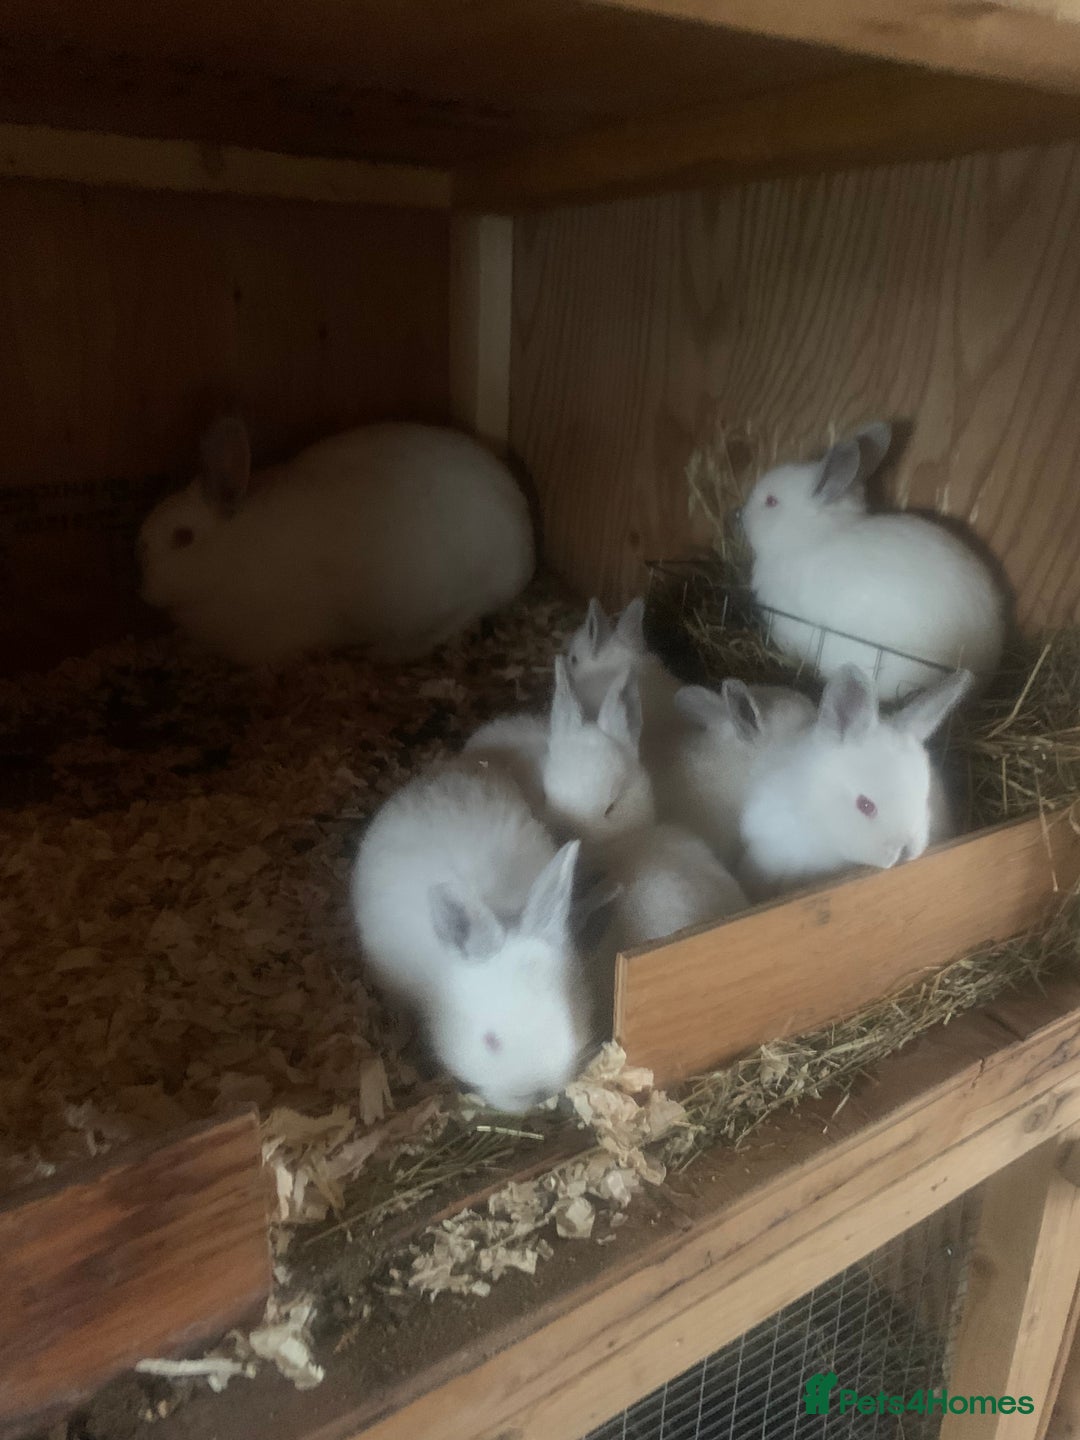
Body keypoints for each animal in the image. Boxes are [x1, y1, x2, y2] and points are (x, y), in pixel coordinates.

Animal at [138, 417, 535, 666]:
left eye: (183, 537)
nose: (144, 591)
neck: (232, 552)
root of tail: (525, 548)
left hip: (457, 588)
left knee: (461, 616)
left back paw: (389, 652)